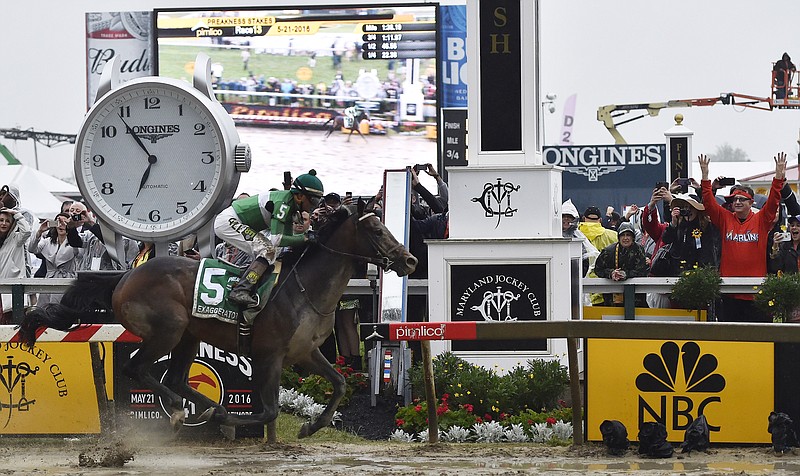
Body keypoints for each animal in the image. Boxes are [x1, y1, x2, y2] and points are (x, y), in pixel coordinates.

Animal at [21, 205, 416, 442]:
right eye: (377, 230)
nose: (410, 260)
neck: (306, 290)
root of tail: (124, 277)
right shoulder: (269, 355)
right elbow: (269, 408)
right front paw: (230, 421)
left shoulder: (306, 352)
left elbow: (339, 384)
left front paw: (310, 426)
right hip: (169, 330)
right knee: (138, 368)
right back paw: (186, 411)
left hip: (188, 337)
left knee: (176, 378)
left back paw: (209, 407)